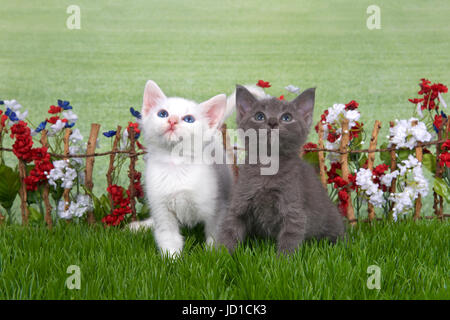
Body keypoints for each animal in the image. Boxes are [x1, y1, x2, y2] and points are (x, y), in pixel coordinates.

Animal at [127, 80, 230, 258]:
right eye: (163, 113)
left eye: (189, 119)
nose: (172, 120)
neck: (175, 163)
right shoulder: (161, 209)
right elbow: (168, 236)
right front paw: (172, 260)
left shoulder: (216, 209)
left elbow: (215, 235)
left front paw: (212, 256)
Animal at [217, 85, 344, 255]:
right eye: (259, 116)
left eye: (287, 117)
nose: (272, 122)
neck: (268, 167)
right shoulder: (240, 202)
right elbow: (229, 230)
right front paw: (222, 255)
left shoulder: (293, 210)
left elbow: (289, 239)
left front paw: (283, 260)